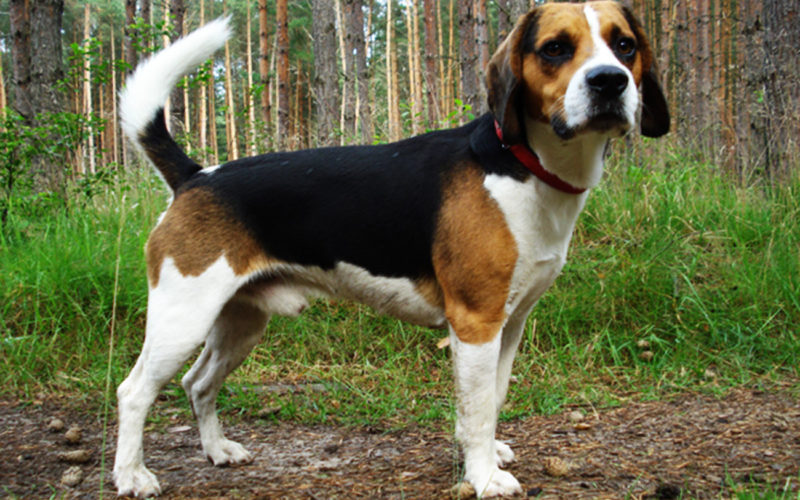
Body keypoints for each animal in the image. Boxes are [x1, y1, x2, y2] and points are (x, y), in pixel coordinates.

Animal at [114, 1, 668, 498]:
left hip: (239, 323)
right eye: (555, 48)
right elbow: (477, 409)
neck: (523, 164)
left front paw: (486, 453)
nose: (610, 81)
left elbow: (493, 399)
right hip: (182, 318)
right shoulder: (476, 323)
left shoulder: (510, 324)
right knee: (134, 391)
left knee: (198, 384)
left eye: (625, 45)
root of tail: (195, 176)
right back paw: (132, 476)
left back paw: (217, 450)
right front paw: (484, 476)